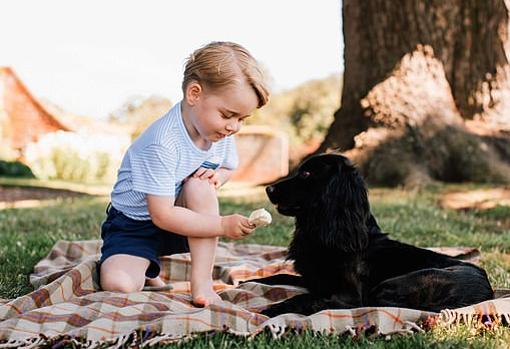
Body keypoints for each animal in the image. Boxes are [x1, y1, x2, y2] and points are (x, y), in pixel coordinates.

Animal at [255, 152, 494, 316]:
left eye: (306, 173)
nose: (268, 189)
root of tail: (487, 293)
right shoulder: (314, 279)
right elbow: (279, 276)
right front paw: (251, 282)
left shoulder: (349, 294)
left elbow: (306, 297)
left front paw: (271, 309)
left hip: (394, 284)